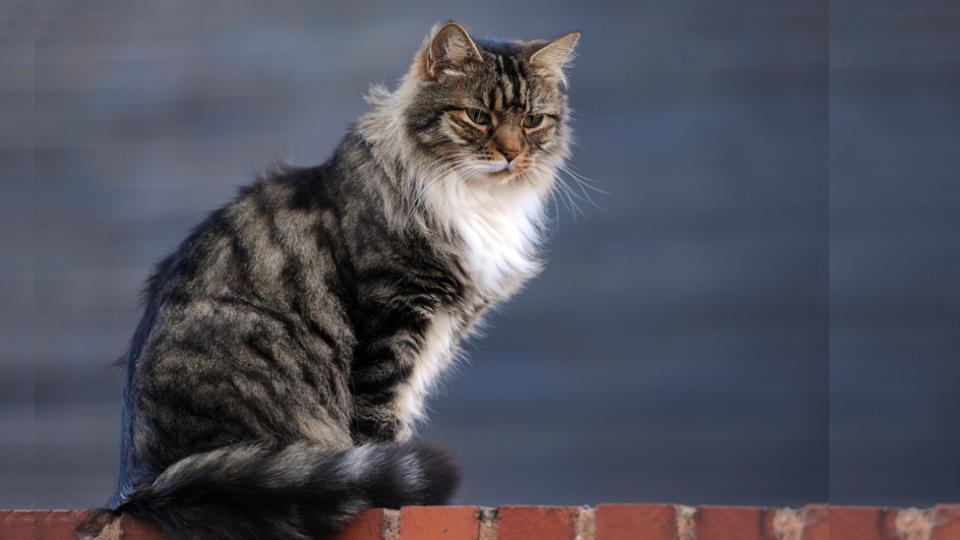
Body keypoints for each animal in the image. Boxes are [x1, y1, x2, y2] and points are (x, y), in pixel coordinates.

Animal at [77, 21, 576, 540]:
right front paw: (391, 496)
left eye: (533, 121)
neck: (476, 200)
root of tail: (139, 488)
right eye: (478, 116)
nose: (512, 154)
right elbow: (379, 423)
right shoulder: (392, 319)